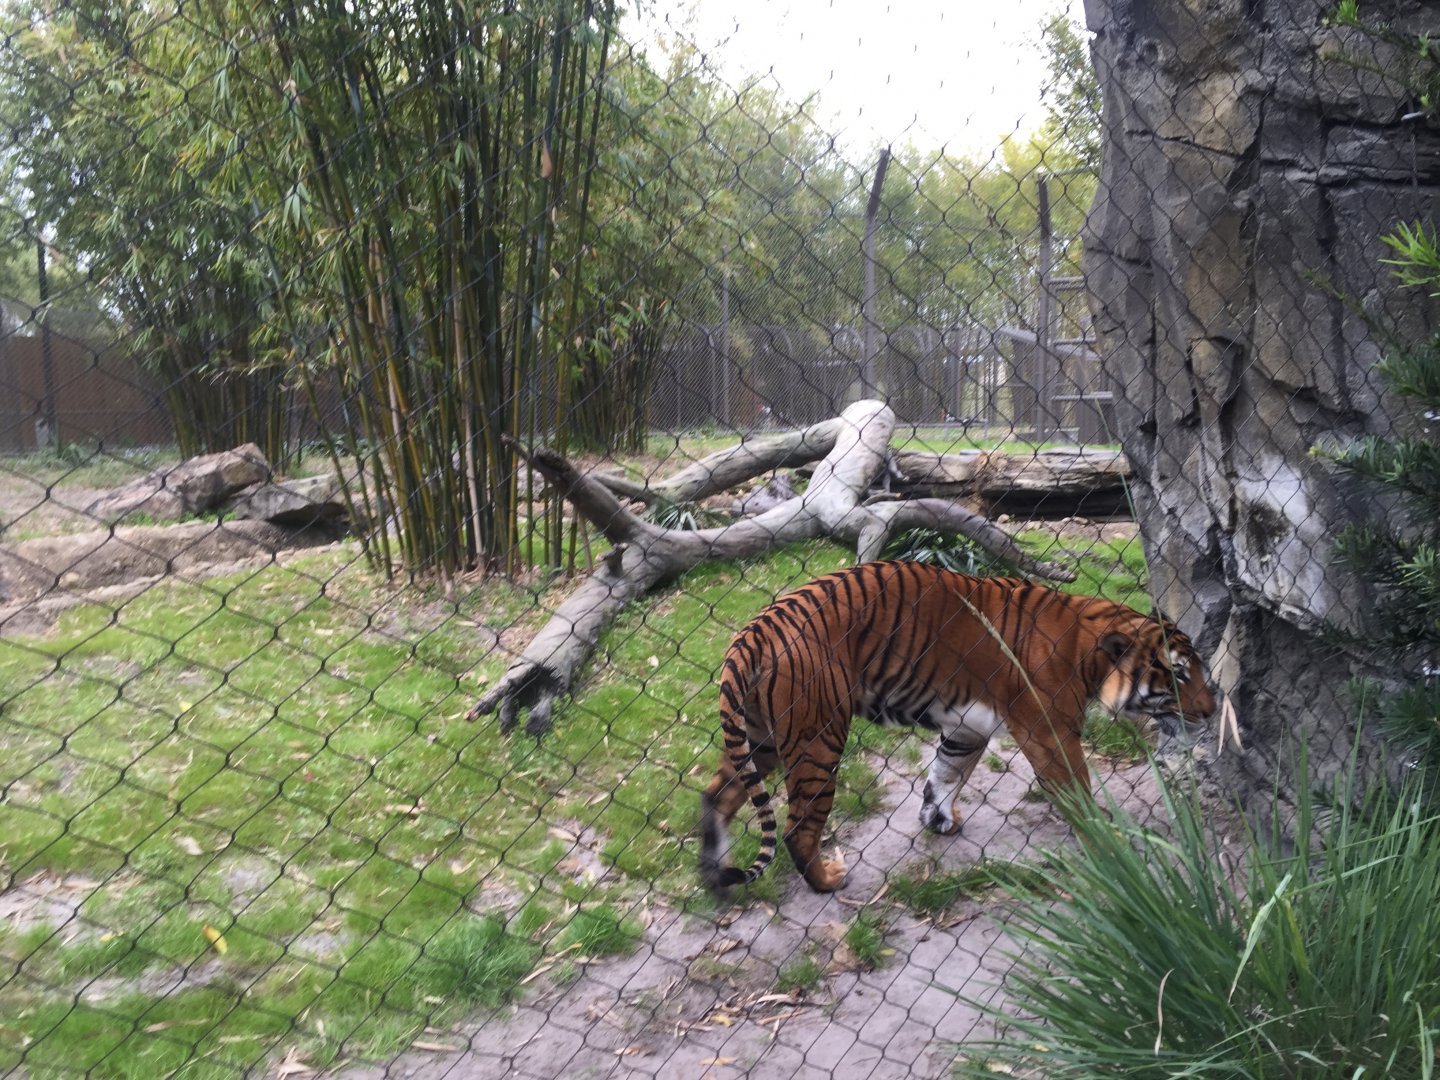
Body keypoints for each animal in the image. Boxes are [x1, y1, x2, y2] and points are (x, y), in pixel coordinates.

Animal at [699, 560, 1216, 894]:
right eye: (1178, 675)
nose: (1213, 711)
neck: (1087, 650)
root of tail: (758, 627)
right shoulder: (1049, 732)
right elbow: (1077, 789)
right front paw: (1106, 841)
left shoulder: (968, 727)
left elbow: (946, 774)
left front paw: (938, 819)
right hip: (817, 738)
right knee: (797, 828)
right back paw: (827, 880)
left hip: (761, 736)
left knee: (716, 796)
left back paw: (715, 876)